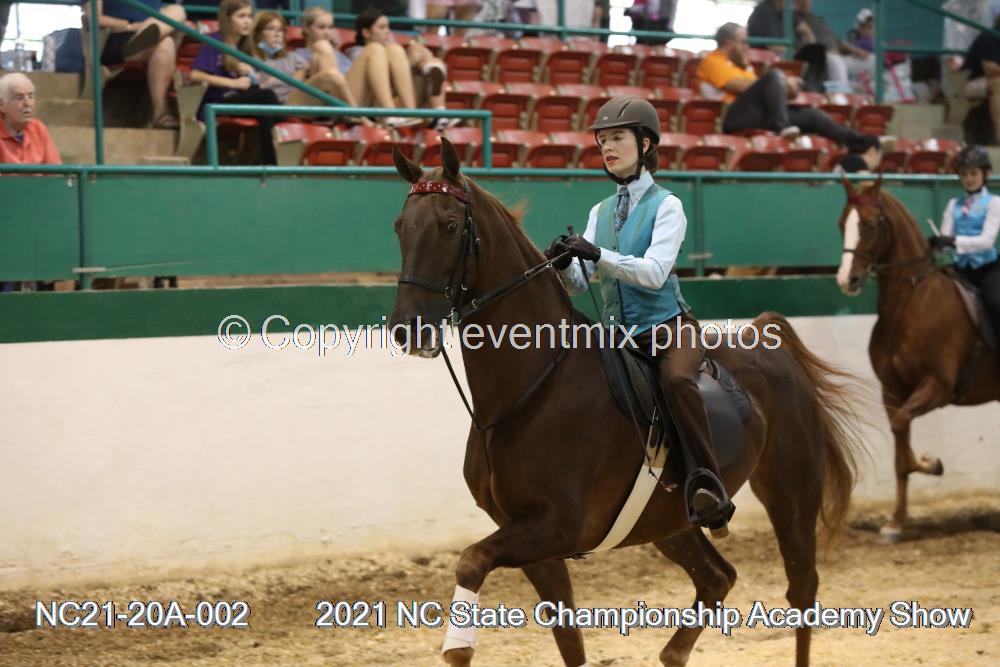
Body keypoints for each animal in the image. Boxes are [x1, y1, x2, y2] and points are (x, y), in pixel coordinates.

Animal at [389, 139, 865, 667]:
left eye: (450, 226)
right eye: (400, 227)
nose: (408, 328)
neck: (535, 387)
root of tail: (767, 342)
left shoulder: (557, 526)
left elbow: (470, 562)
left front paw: (458, 643)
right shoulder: (531, 540)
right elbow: (567, 637)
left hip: (791, 492)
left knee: (801, 591)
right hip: (669, 522)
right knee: (717, 579)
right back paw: (673, 651)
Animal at [835, 178, 1000, 542]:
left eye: (869, 224)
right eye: (842, 225)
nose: (846, 280)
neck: (911, 302)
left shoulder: (938, 386)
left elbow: (902, 437)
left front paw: (930, 462)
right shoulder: (892, 391)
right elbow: (899, 450)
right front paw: (896, 523)